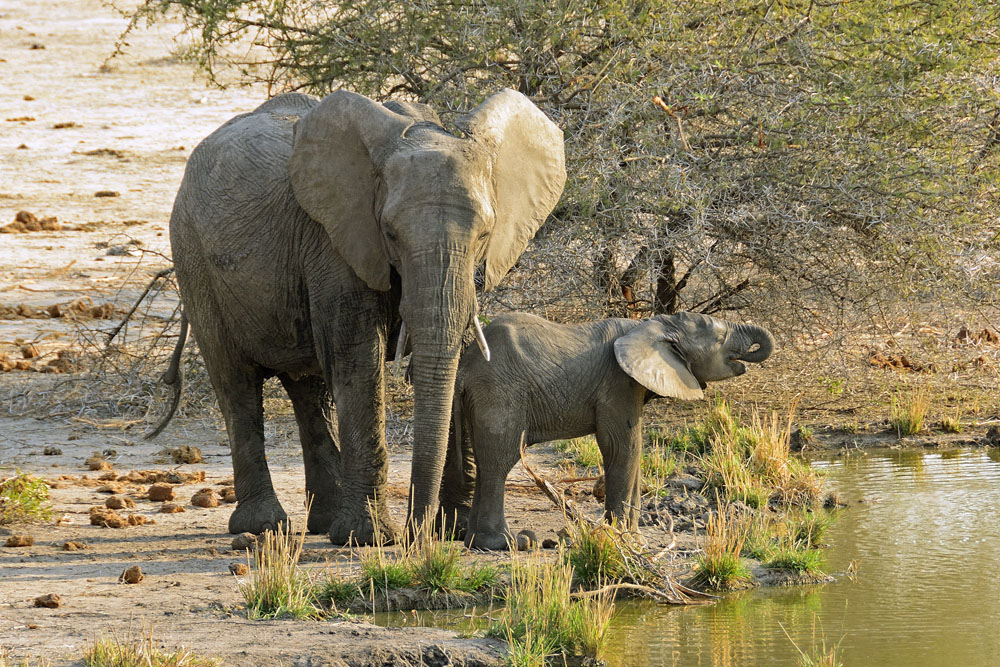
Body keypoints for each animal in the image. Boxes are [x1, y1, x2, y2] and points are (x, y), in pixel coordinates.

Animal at [160, 89, 566, 544]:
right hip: (193, 259)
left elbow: (456, 355)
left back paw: (322, 522)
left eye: (484, 234)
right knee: (237, 383)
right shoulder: (335, 241)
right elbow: (358, 359)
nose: (417, 533)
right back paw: (265, 527)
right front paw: (368, 537)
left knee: (309, 389)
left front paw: (454, 530)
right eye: (389, 233)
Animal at [446, 311, 774, 550]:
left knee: (483, 462)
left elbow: (634, 449)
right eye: (720, 339)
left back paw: (476, 542)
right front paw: (622, 539)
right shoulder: (618, 382)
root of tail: (464, 369)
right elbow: (621, 446)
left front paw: (634, 540)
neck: (655, 324)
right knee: (499, 462)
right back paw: (507, 542)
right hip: (499, 394)